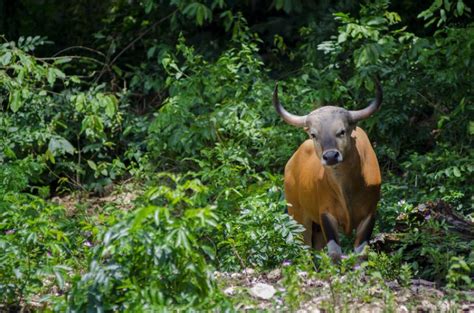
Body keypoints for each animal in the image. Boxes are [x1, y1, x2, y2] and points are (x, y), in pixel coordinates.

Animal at [274, 79, 382, 260]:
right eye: (313, 134)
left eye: (341, 131)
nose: (331, 156)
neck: (347, 189)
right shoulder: (326, 214)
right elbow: (334, 253)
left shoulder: (369, 213)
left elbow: (361, 253)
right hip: (298, 216)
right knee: (305, 250)